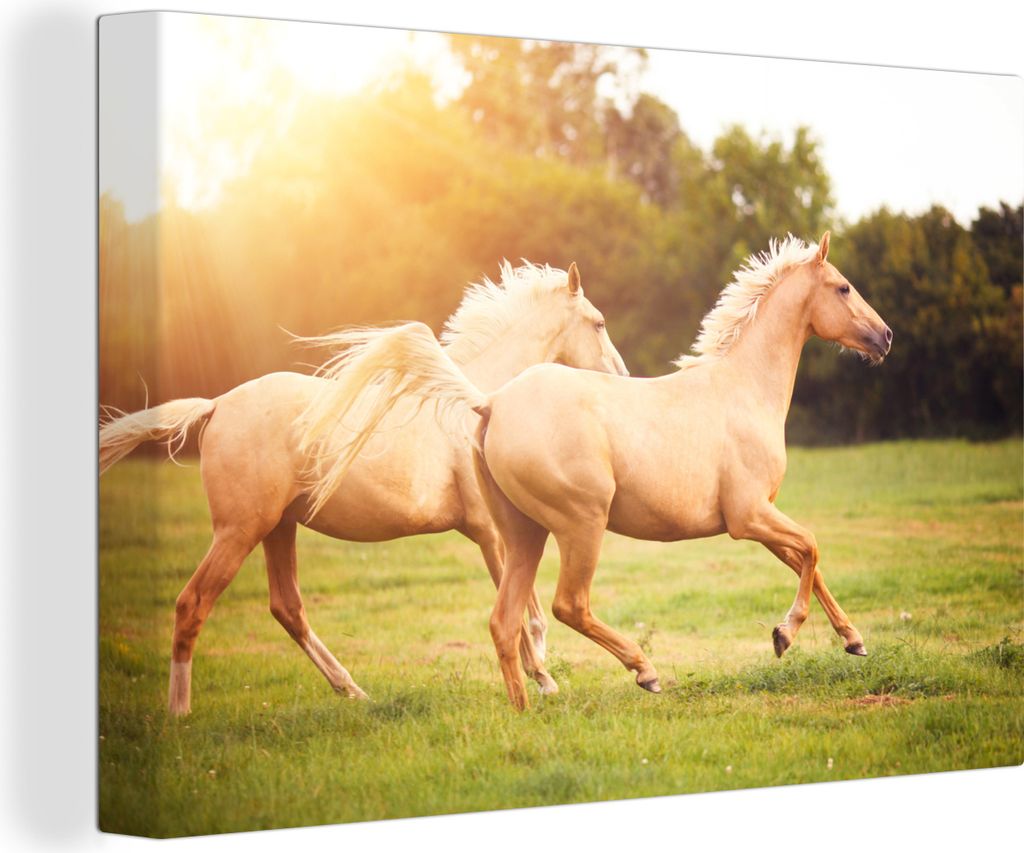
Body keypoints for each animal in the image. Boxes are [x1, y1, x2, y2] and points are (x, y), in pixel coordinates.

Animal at [99, 260, 628, 715]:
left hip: (277, 528)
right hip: (238, 530)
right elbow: (521, 612)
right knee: (192, 605)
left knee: (287, 608)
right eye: (599, 323)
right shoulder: (493, 534)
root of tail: (215, 406)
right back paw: (179, 713)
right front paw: (545, 681)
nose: (622, 378)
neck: (478, 404)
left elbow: (524, 610)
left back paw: (353, 691)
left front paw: (543, 678)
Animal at [304, 232, 893, 709]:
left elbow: (807, 563)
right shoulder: (748, 517)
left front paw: (853, 640)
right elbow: (812, 548)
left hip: (522, 535)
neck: (741, 390)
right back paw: (645, 672)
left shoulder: (760, 517)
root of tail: (490, 403)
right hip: (580, 525)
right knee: (568, 605)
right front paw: (784, 635)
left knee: (504, 621)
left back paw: (526, 709)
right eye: (843, 288)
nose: (885, 337)